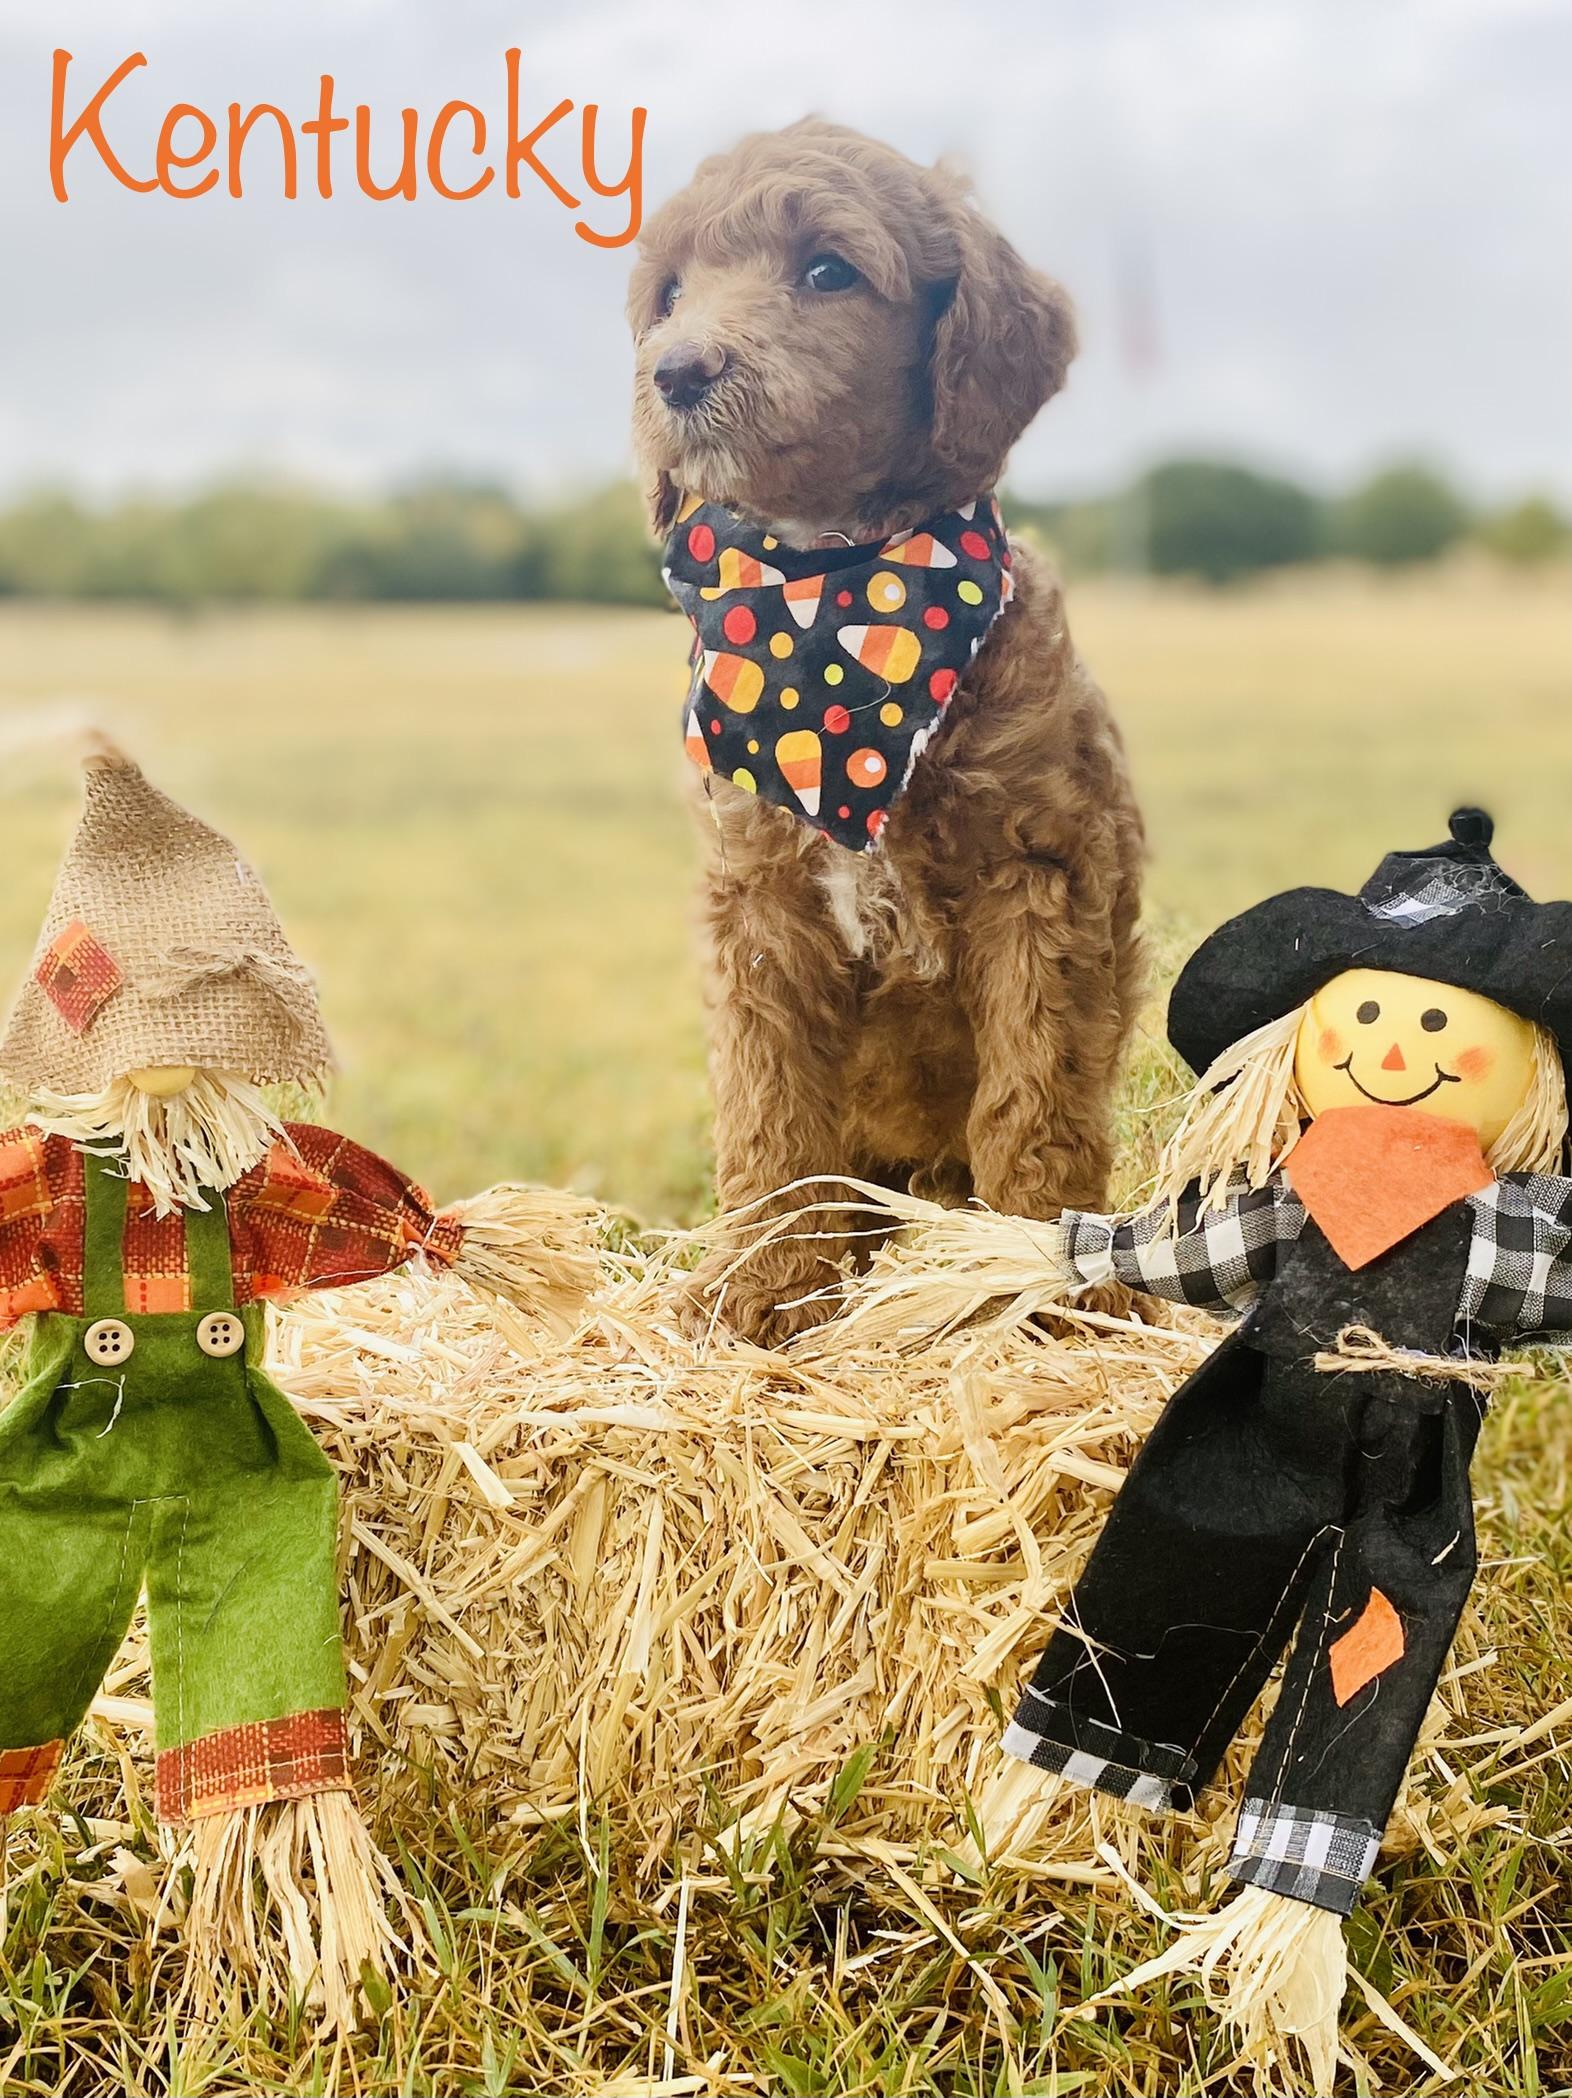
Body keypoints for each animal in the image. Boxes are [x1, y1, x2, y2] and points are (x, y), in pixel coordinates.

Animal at [629, 120, 1145, 1345]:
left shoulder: (1040, 881)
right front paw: (763, 1289)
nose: (678, 370)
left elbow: (1034, 1096)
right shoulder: (760, 907)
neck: (835, 595)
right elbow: (770, 1118)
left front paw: (1037, 1291)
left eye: (828, 272)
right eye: (670, 293)